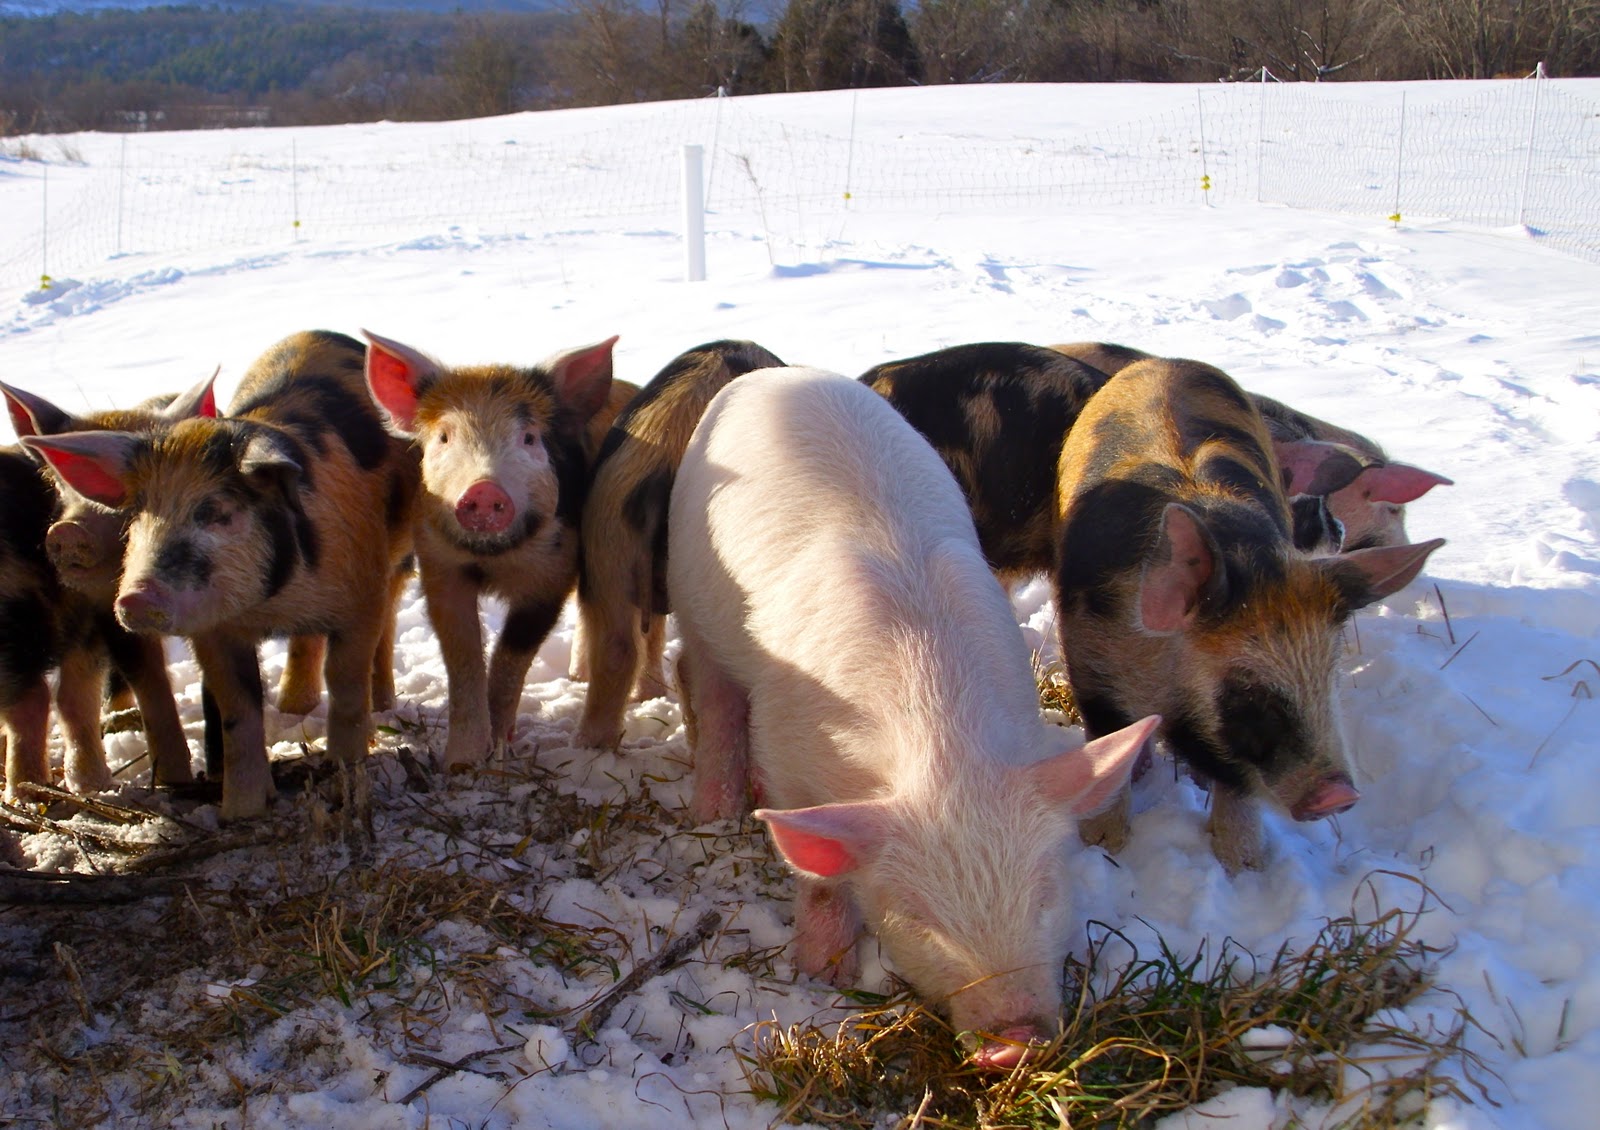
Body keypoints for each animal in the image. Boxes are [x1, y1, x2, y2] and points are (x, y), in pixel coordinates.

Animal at [25, 330, 420, 821]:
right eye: (137, 515)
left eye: (216, 512)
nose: (136, 598)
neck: (272, 603)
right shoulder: (213, 632)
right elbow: (238, 712)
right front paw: (241, 813)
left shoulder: (359, 597)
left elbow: (347, 683)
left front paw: (346, 775)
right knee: (306, 643)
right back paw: (292, 708)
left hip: (396, 558)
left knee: (386, 623)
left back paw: (381, 705)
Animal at [362, 331, 618, 768]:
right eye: (444, 437)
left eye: (529, 437)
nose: (483, 490)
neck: (492, 558)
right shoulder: (439, 566)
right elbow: (463, 656)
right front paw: (460, 763)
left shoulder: (553, 572)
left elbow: (510, 657)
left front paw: (498, 752)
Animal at [667, 366, 1160, 1069]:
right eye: (920, 920)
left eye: (1045, 896)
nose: (1015, 1043)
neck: (943, 739)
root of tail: (781, 373)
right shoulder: (790, 750)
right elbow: (818, 879)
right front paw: (823, 974)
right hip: (691, 592)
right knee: (711, 693)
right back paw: (715, 811)